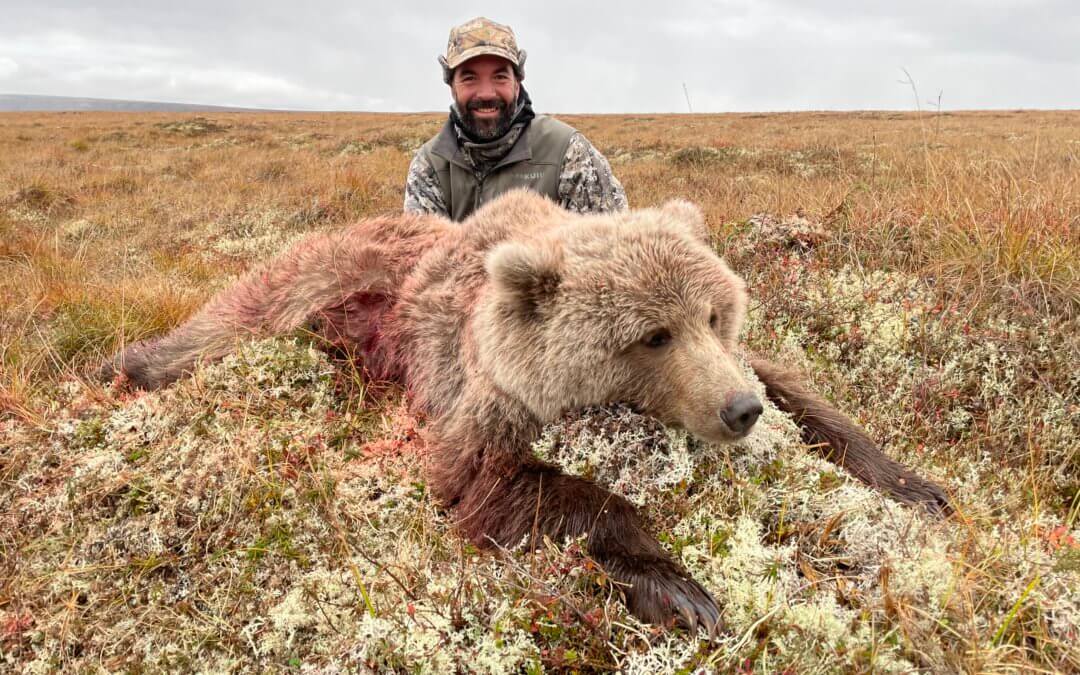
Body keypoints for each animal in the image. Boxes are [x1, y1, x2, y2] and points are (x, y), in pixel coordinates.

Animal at [101, 189, 952, 633]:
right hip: (313, 279)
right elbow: (505, 488)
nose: (737, 410)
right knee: (224, 323)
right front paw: (682, 588)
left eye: (715, 314)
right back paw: (126, 365)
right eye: (652, 334)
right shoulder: (472, 402)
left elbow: (805, 393)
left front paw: (918, 486)